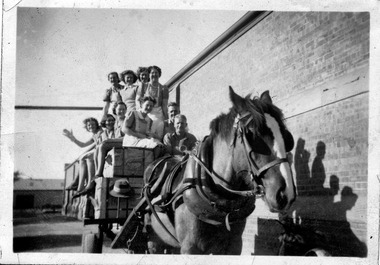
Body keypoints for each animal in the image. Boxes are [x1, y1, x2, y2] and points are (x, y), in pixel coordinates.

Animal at [142, 86, 296, 254]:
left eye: (287, 137)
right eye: (251, 134)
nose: (285, 194)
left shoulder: (234, 245)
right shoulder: (190, 247)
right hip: (154, 239)